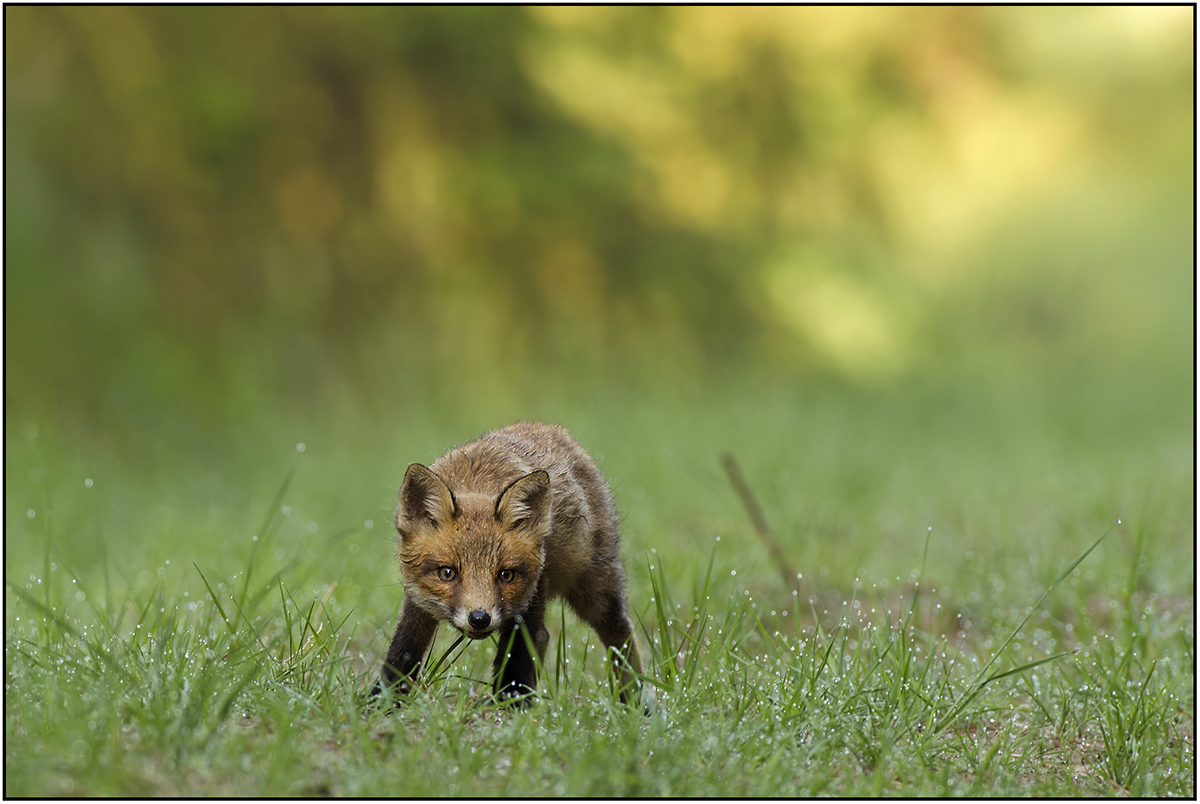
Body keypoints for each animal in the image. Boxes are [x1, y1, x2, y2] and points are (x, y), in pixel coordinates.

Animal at [372, 422, 648, 705]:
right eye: (447, 573)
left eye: (506, 575)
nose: (479, 618)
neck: (477, 483)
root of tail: (552, 429)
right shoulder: (417, 601)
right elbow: (403, 651)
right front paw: (381, 701)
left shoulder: (529, 601)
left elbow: (516, 662)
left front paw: (512, 706)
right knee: (547, 638)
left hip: (594, 591)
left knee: (619, 636)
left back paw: (634, 700)